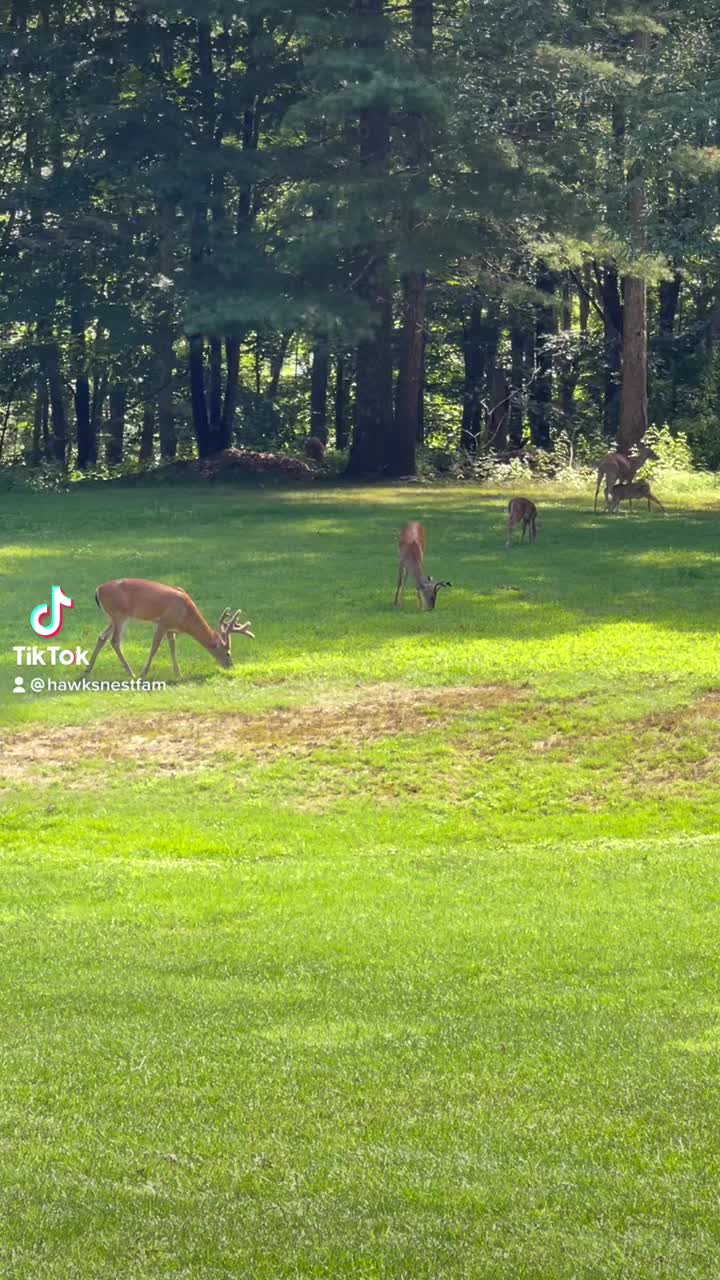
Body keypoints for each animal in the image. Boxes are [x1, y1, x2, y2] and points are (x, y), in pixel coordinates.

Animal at [85, 581, 253, 680]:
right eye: (227, 653)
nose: (231, 666)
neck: (186, 617)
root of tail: (98, 590)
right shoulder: (162, 623)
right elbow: (155, 647)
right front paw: (144, 673)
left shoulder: (171, 629)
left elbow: (172, 648)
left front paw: (179, 674)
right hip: (119, 615)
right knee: (115, 641)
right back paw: (131, 673)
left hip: (113, 618)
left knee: (102, 637)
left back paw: (88, 670)